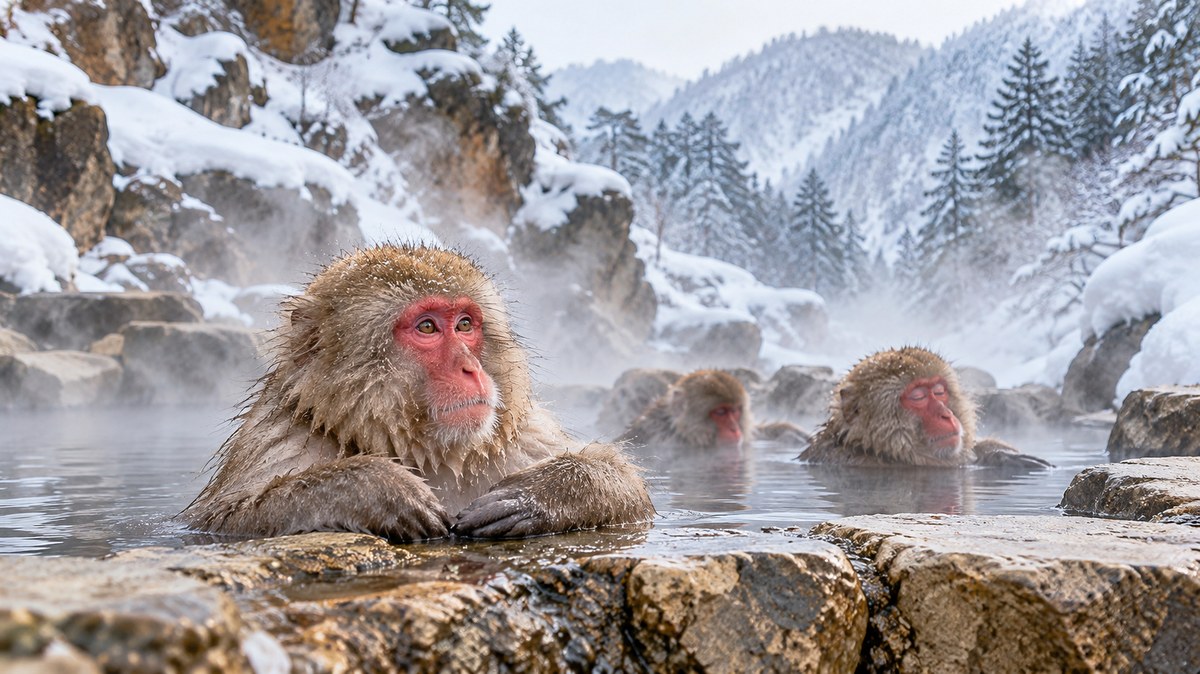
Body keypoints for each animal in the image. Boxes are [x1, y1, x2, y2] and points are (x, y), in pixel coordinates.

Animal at [181, 244, 654, 541]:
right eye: (427, 327)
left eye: (465, 324)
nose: (471, 368)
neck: (430, 453)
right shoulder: (281, 436)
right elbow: (228, 516)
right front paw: (376, 489)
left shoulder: (519, 436)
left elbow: (632, 492)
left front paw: (534, 497)